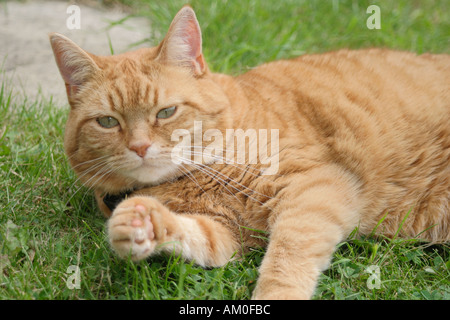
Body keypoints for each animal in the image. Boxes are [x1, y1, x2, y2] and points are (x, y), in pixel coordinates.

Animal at [50, 5, 450, 300]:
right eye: (107, 122)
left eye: (166, 112)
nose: (140, 146)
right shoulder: (227, 234)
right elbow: (194, 234)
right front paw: (136, 223)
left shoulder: (315, 187)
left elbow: (287, 255)